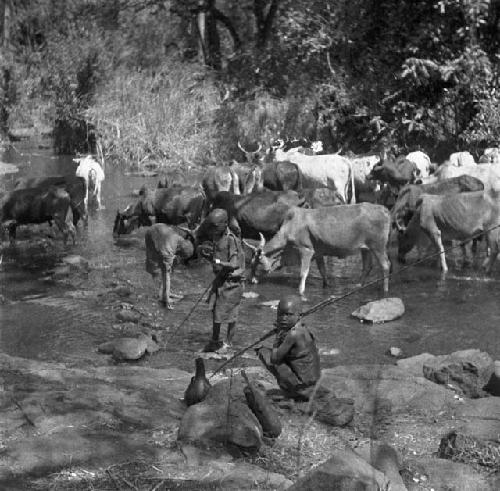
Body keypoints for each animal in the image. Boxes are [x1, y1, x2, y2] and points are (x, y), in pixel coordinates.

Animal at [250, 203, 390, 298]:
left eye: (257, 263)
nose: (252, 280)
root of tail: (384, 210)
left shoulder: (306, 249)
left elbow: (303, 273)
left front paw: (300, 291)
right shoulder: (318, 253)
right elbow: (323, 271)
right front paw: (326, 286)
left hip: (378, 246)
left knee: (386, 266)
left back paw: (385, 290)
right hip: (365, 248)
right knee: (367, 266)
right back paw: (357, 285)